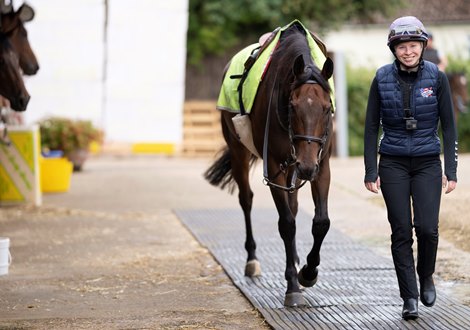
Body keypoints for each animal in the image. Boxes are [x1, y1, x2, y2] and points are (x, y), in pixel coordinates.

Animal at [206, 22, 334, 306]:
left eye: (326, 107)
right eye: (293, 106)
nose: (306, 166)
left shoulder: (321, 164)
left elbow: (321, 222)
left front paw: (308, 271)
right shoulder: (275, 165)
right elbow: (286, 223)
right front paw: (293, 286)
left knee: (294, 205)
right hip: (240, 151)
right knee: (246, 199)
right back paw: (252, 260)